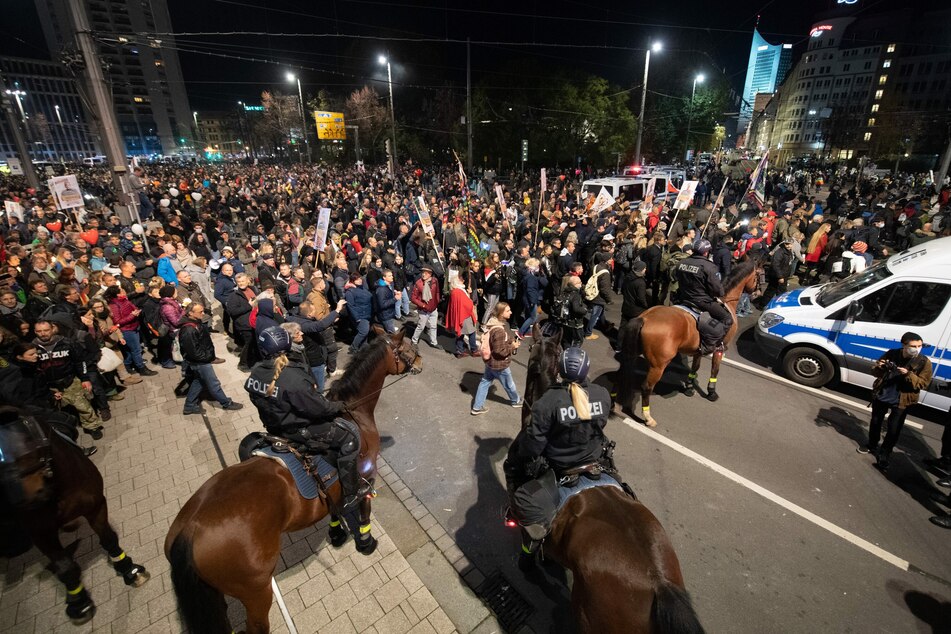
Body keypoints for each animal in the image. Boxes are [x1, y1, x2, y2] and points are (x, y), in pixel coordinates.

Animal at [0, 404, 150, 624]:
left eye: (26, 440)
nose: (19, 501)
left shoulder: (96, 506)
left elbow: (109, 539)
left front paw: (128, 568)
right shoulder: (40, 532)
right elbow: (65, 566)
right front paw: (78, 602)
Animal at [165, 328, 422, 632]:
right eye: (407, 348)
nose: (421, 361)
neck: (354, 414)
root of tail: (189, 531)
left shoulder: (333, 488)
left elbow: (334, 508)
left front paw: (337, 533)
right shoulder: (366, 475)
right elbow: (364, 510)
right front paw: (366, 541)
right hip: (257, 592)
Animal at [612, 256, 764, 424]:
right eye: (760, 274)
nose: (758, 293)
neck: (727, 302)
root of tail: (645, 318)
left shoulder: (698, 350)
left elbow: (695, 368)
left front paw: (690, 387)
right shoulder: (720, 348)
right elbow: (715, 370)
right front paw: (711, 392)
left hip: (632, 353)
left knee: (620, 374)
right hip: (658, 365)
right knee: (646, 387)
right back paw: (648, 417)